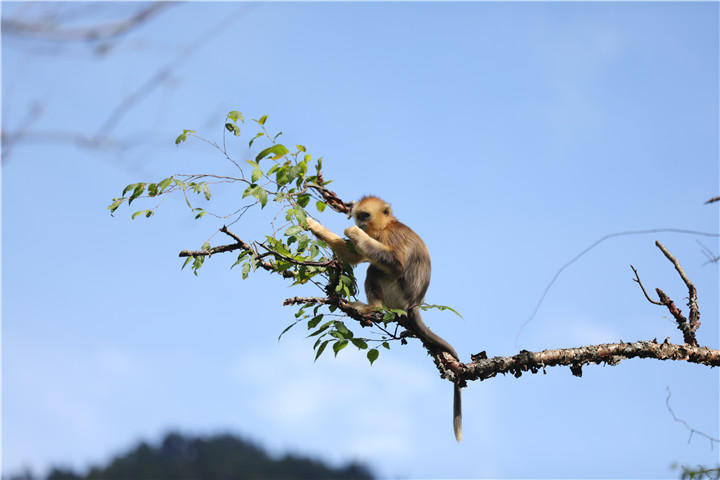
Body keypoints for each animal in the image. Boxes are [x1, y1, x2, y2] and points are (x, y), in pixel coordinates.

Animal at [306, 195, 464, 442]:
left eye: (366, 216)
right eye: (359, 215)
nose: (360, 224)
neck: (385, 227)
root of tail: (413, 303)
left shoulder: (389, 236)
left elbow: (395, 265)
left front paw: (353, 232)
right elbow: (353, 256)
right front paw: (312, 225)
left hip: (396, 293)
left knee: (375, 269)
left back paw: (372, 307)